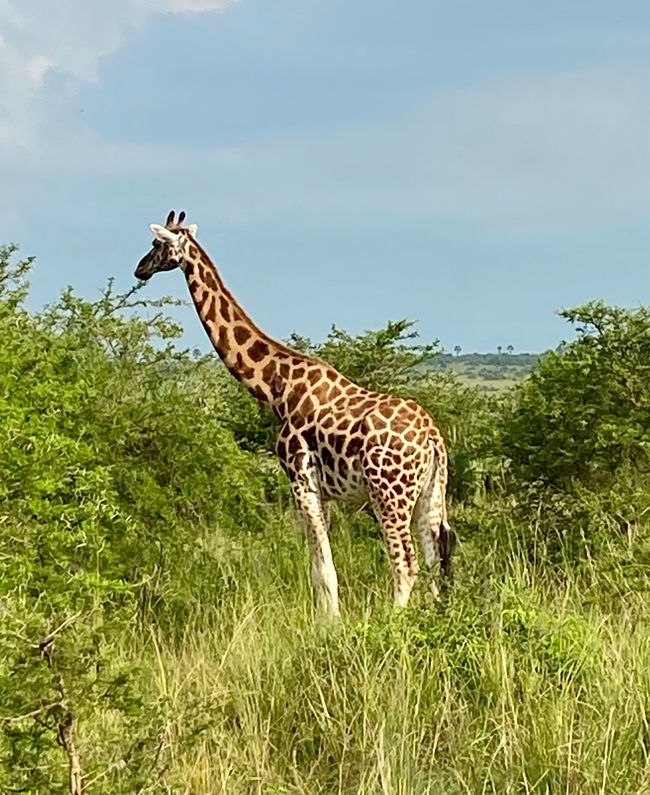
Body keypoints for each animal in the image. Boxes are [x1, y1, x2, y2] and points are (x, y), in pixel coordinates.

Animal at [134, 211, 454, 616]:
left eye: (156, 244)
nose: (139, 269)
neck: (278, 388)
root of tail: (432, 439)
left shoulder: (301, 481)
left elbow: (322, 568)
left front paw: (330, 623)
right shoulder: (325, 492)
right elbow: (324, 565)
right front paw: (330, 619)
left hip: (389, 492)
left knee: (405, 563)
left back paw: (392, 620)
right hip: (431, 492)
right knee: (432, 559)